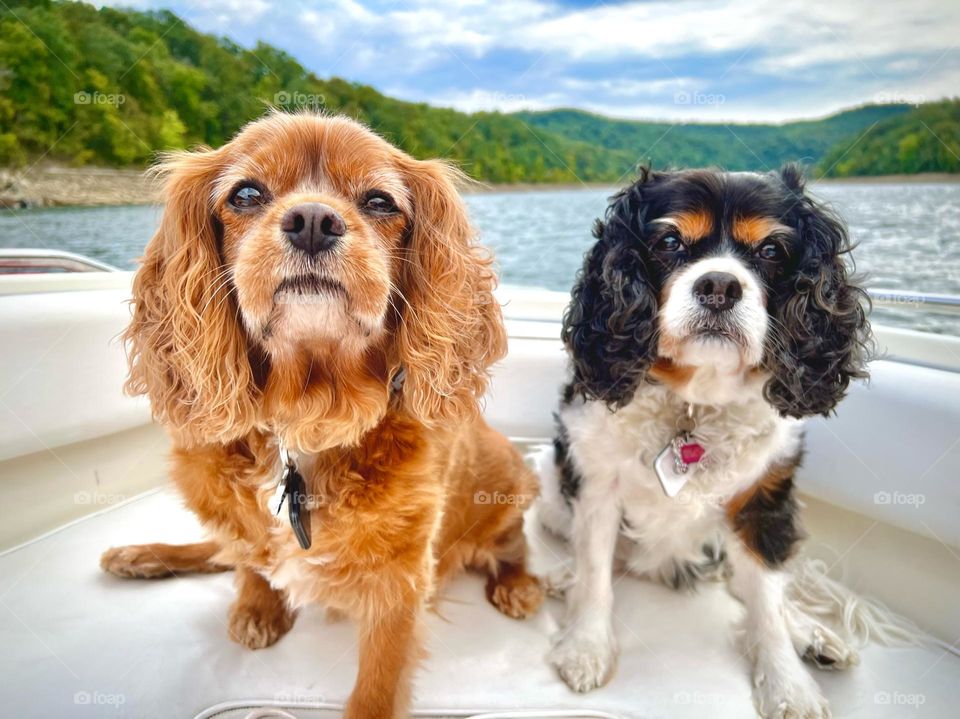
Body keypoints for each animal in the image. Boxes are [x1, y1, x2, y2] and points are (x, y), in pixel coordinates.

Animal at [536, 166, 872, 716]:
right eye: (670, 242)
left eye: (771, 250)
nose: (719, 284)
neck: (694, 402)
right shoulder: (596, 486)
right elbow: (595, 574)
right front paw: (586, 646)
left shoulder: (762, 499)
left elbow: (767, 606)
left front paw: (788, 684)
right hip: (549, 477)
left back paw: (810, 632)